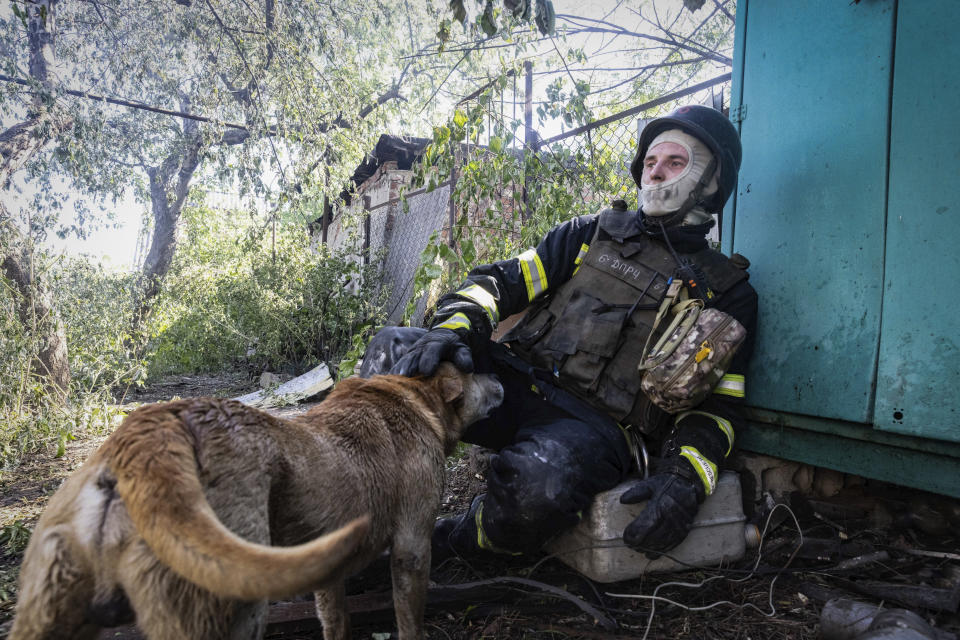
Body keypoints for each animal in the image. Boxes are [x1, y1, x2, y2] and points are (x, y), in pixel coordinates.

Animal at [9, 364, 502, 640]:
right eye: (474, 365)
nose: (501, 374)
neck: (417, 397)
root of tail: (151, 429)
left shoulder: (327, 570)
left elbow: (336, 621)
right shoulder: (412, 546)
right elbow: (409, 621)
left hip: (50, 611)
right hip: (234, 608)